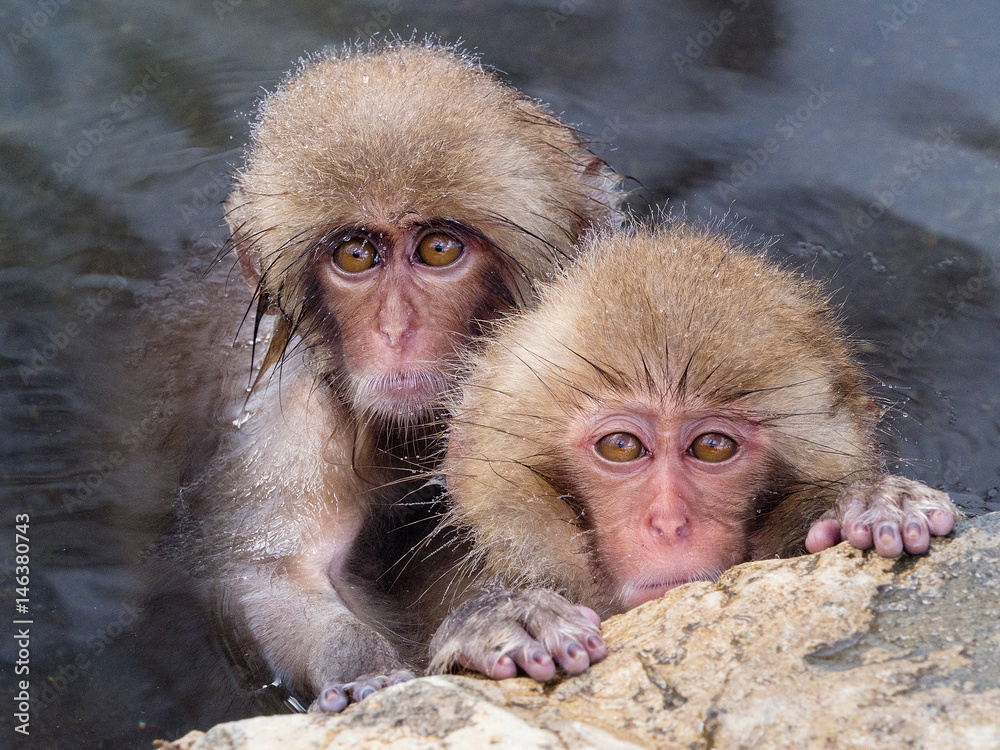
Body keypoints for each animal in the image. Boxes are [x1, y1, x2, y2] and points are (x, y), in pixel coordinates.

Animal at [170, 40, 621, 714]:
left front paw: (492, 612)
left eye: (437, 249)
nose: (393, 329)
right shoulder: (295, 418)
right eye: (356, 255)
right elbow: (273, 575)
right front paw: (367, 667)